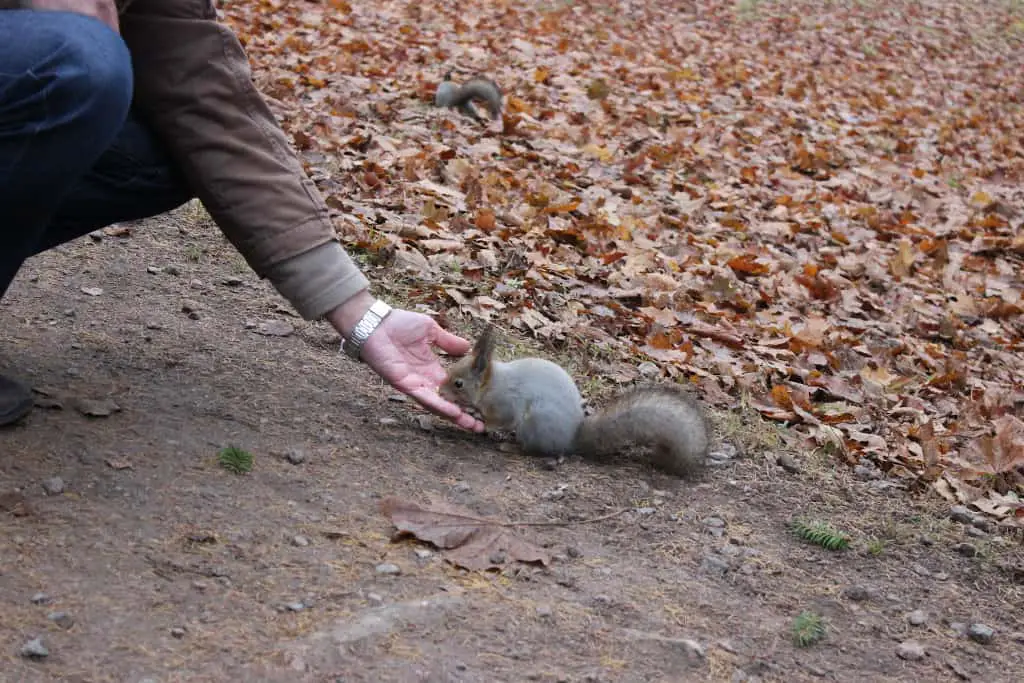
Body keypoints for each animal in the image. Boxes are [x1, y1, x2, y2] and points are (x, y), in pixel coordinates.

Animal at [440, 325, 712, 475]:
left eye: (458, 383)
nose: (440, 392)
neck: (490, 385)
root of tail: (571, 438)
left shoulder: (504, 403)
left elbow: (500, 419)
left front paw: (479, 418)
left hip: (534, 424)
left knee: (532, 450)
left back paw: (510, 446)